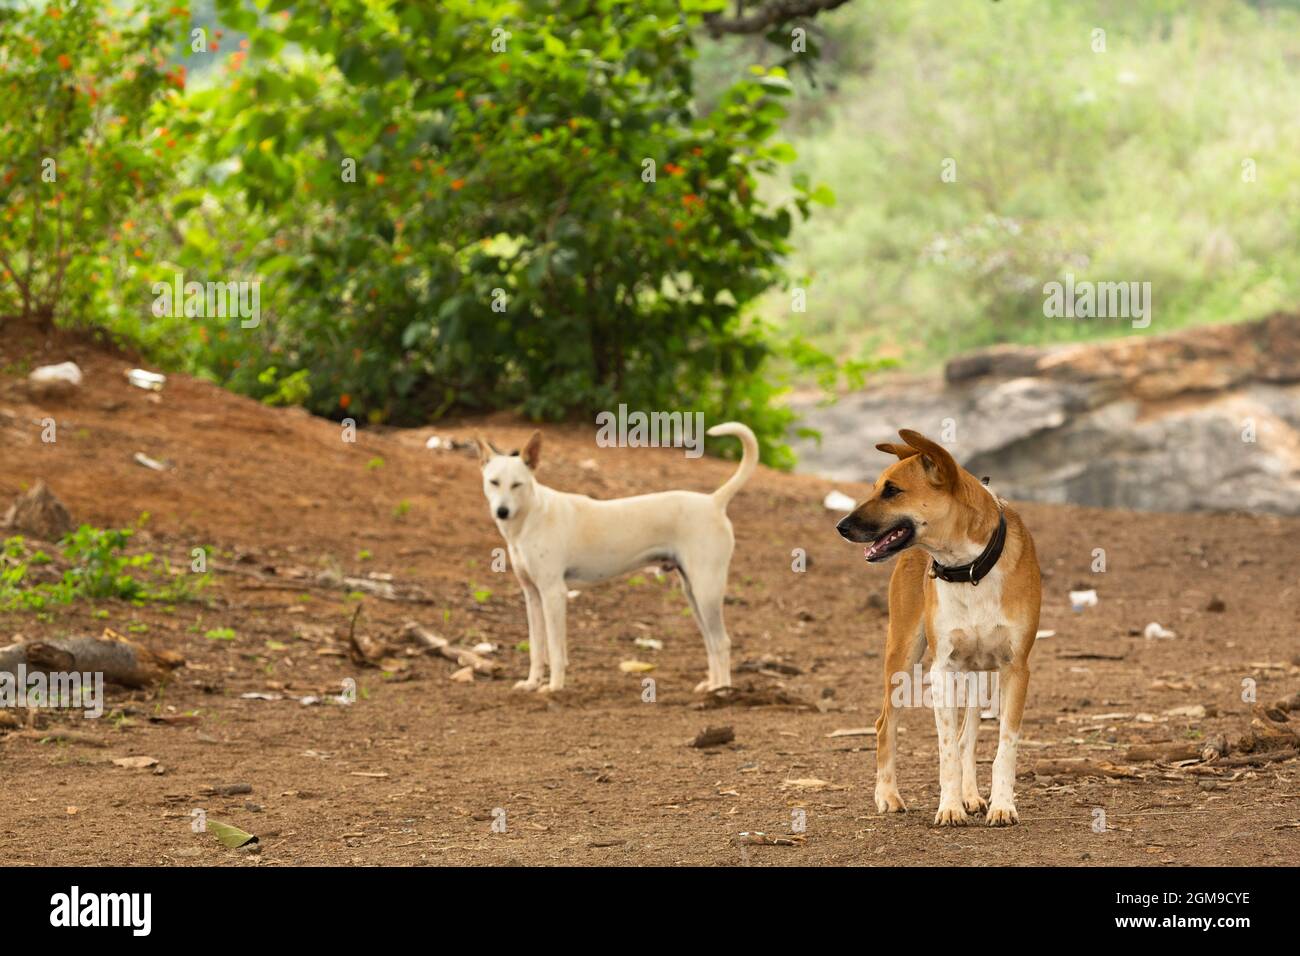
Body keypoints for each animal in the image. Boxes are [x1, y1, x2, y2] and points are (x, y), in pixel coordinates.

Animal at [475, 426, 759, 697]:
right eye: (493, 482)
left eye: (517, 485)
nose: (502, 511)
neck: (533, 515)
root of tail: (714, 501)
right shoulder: (533, 596)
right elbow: (536, 647)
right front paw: (531, 683)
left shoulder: (554, 593)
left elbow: (555, 649)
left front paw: (554, 687)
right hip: (692, 593)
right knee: (711, 642)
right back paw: (712, 685)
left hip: (706, 591)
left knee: (721, 642)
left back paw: (721, 690)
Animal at [837, 429, 1040, 827]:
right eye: (875, 487)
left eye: (892, 490)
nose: (841, 526)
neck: (971, 568)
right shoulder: (942, 669)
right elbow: (946, 751)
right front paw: (949, 807)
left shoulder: (1015, 668)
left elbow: (1003, 747)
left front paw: (1001, 805)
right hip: (902, 652)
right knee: (885, 724)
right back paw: (888, 796)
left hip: (982, 674)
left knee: (968, 735)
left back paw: (973, 796)